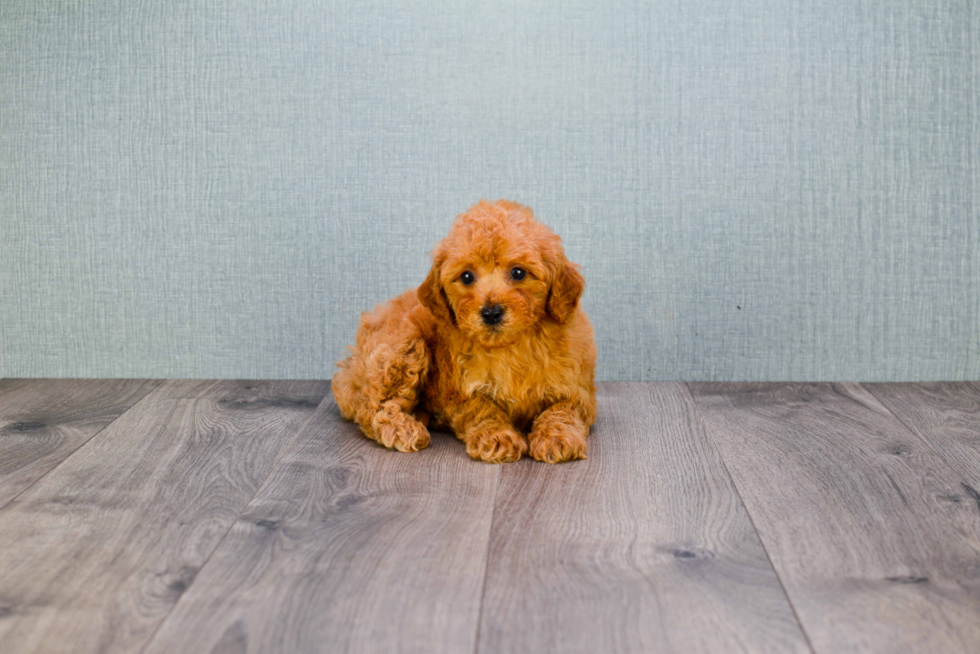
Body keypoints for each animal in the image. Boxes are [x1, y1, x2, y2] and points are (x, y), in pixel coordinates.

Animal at [334, 202, 596, 464]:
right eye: (467, 276)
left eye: (519, 273)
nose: (491, 312)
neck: (510, 346)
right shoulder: (458, 393)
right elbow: (482, 409)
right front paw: (497, 437)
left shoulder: (578, 390)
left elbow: (563, 410)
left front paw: (556, 437)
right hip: (405, 345)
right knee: (370, 406)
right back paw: (403, 429)